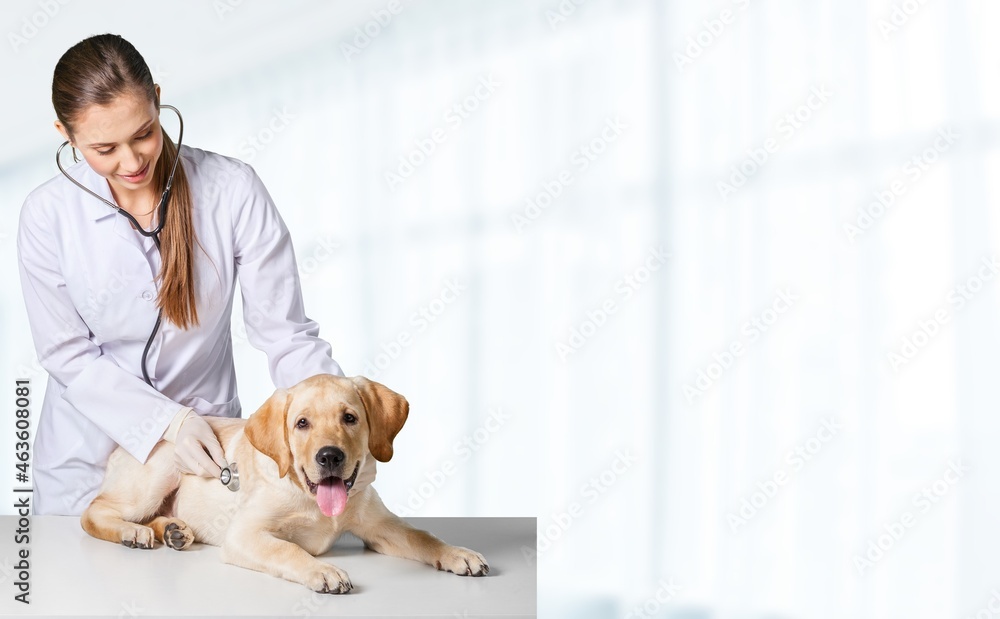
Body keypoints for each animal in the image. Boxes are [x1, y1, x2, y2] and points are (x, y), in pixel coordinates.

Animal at [84, 376, 490, 592]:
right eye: (301, 423)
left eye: (350, 418)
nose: (330, 457)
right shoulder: (244, 534)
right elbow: (287, 549)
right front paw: (322, 571)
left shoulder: (380, 525)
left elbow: (422, 536)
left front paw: (457, 553)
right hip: (160, 471)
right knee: (94, 512)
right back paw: (132, 532)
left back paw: (172, 530)